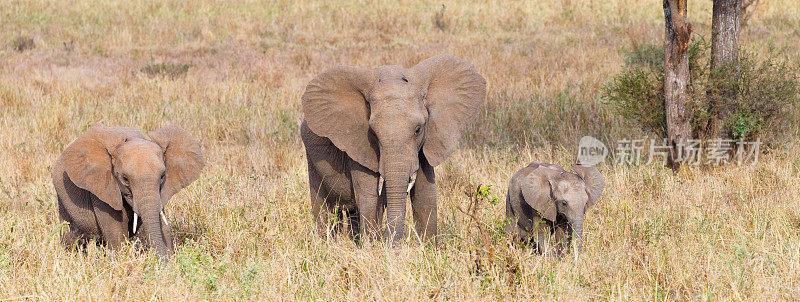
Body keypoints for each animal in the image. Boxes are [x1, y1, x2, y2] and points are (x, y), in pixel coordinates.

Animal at [51, 122, 203, 260]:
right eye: (124, 178)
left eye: (162, 176)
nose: (162, 261)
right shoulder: (103, 188)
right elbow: (117, 233)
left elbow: (161, 223)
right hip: (63, 199)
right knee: (71, 238)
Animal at [302, 53, 484, 244]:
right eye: (373, 133)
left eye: (418, 129)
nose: (391, 245)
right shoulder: (358, 145)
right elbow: (370, 198)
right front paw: (373, 247)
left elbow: (426, 195)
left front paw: (428, 247)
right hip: (311, 159)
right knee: (324, 208)